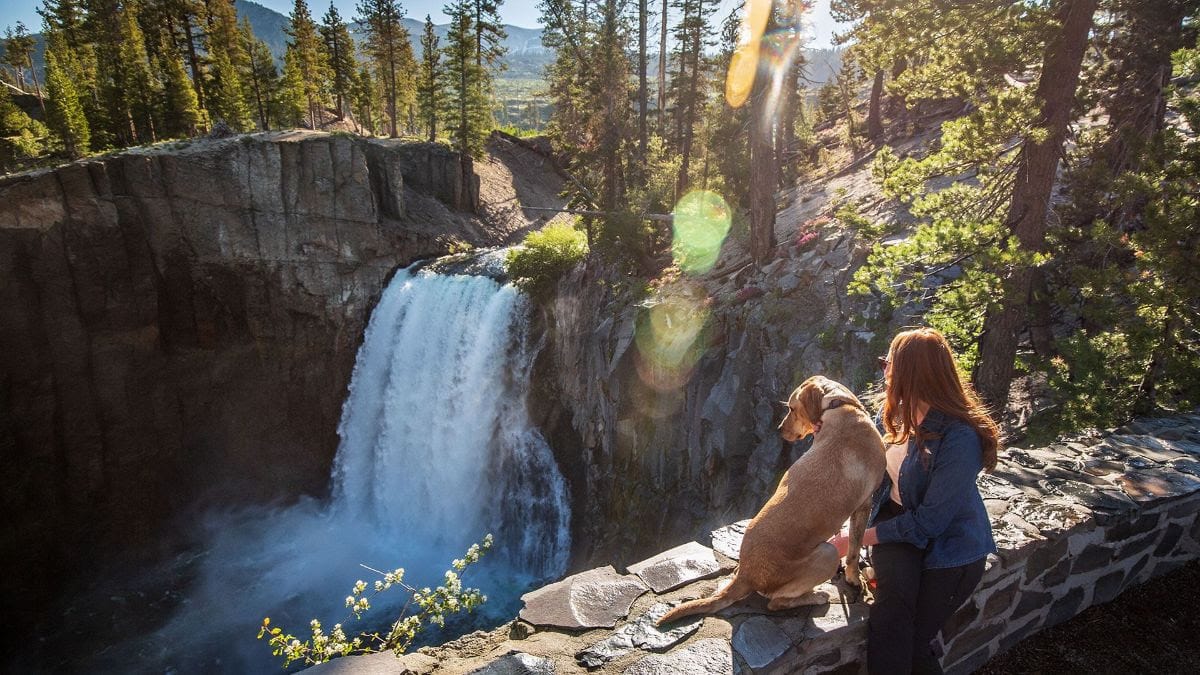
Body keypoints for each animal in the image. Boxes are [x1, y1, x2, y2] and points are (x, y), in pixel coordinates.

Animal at [657, 372, 883, 619]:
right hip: (827, 552)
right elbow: (854, 550)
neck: (839, 406)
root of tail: (746, 576)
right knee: (776, 603)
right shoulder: (864, 505)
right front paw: (854, 578)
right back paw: (817, 595)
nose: (780, 429)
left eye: (792, 408)